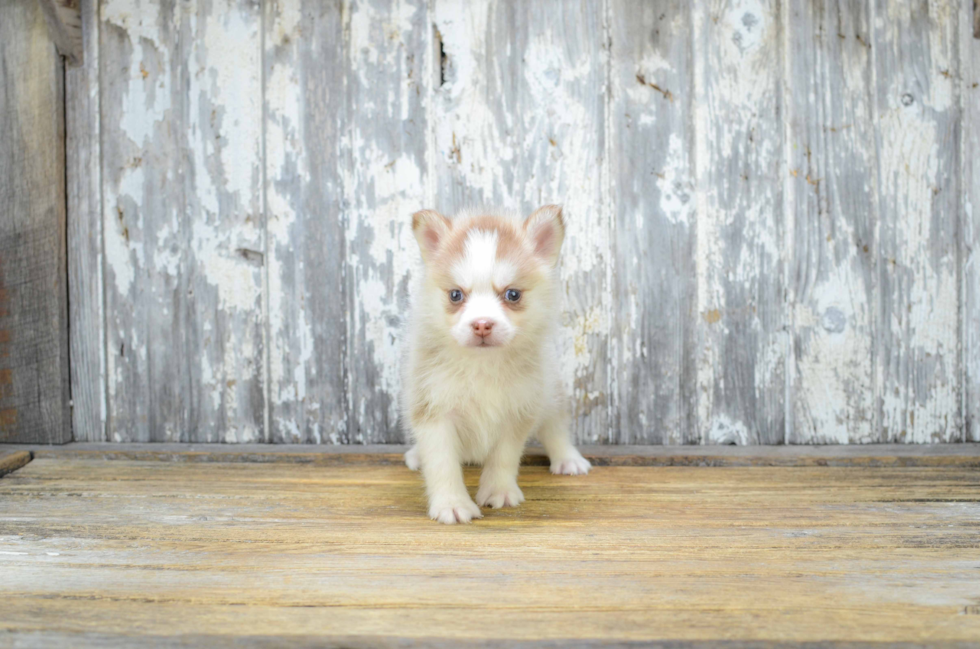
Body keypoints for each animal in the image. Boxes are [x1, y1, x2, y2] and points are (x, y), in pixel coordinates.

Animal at [400, 205, 588, 524]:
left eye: (512, 294)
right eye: (456, 295)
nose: (482, 324)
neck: (482, 365)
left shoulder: (518, 409)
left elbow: (504, 457)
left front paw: (499, 491)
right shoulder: (433, 409)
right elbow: (442, 463)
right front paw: (452, 503)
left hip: (550, 393)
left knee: (555, 427)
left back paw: (568, 458)